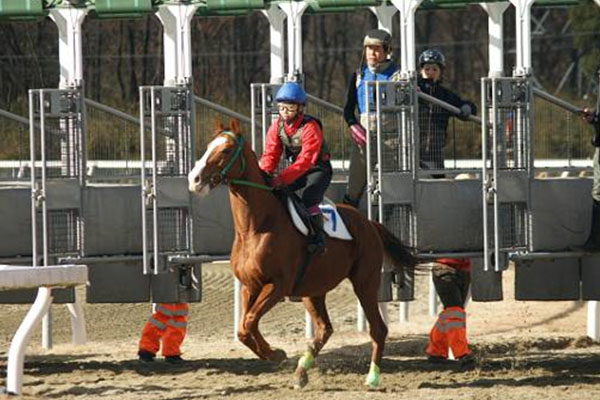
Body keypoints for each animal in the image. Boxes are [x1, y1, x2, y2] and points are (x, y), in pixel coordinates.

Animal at [187, 118, 416, 388]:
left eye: (225, 150)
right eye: (208, 147)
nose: (194, 179)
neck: (255, 226)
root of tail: (370, 223)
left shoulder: (276, 286)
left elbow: (250, 320)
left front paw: (276, 353)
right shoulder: (249, 285)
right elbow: (244, 329)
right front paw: (275, 353)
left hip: (365, 282)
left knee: (378, 328)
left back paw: (372, 377)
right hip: (313, 289)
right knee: (325, 328)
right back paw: (301, 371)